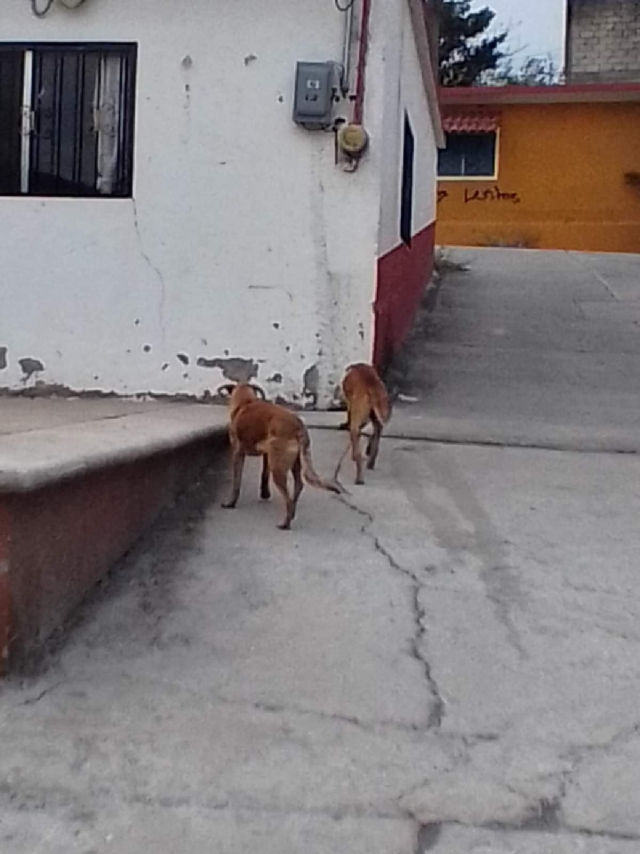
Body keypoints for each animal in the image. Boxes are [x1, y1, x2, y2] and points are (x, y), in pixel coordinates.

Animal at [220, 386, 342, 532]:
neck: (246, 402)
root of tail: (298, 427)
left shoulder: (238, 453)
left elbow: (236, 482)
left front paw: (231, 502)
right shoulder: (267, 455)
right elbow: (264, 475)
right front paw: (265, 493)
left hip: (278, 468)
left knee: (287, 498)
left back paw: (285, 523)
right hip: (294, 463)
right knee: (298, 486)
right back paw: (292, 513)